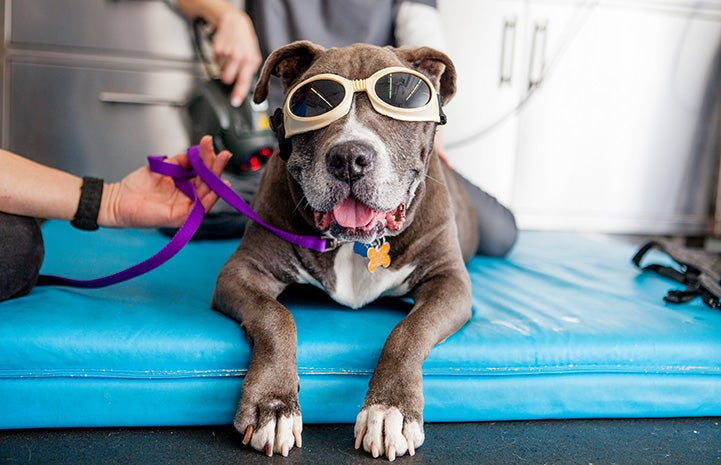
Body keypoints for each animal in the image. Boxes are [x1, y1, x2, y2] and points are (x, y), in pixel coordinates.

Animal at [212, 40, 484, 460]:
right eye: (311, 101)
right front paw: (273, 406)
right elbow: (275, 317)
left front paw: (389, 410)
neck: (355, 243)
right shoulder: (244, 270)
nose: (350, 158)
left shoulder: (449, 282)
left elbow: (409, 331)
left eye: (404, 96)